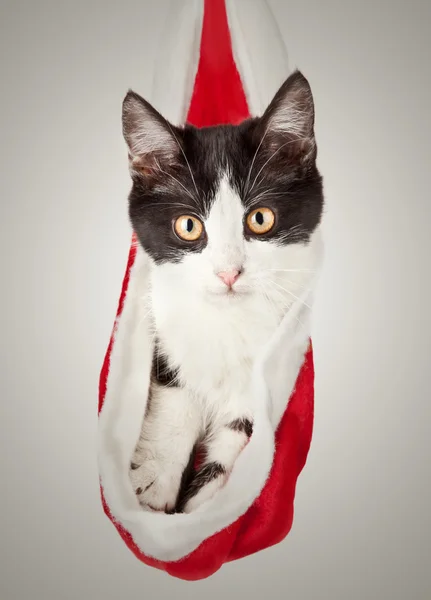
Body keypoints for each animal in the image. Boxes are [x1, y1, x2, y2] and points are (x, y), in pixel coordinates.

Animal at [121, 69, 324, 510]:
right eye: (188, 225)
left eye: (260, 218)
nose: (229, 273)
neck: (228, 319)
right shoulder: (165, 326)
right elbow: (175, 389)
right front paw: (155, 477)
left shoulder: (279, 356)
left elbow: (241, 428)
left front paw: (201, 505)